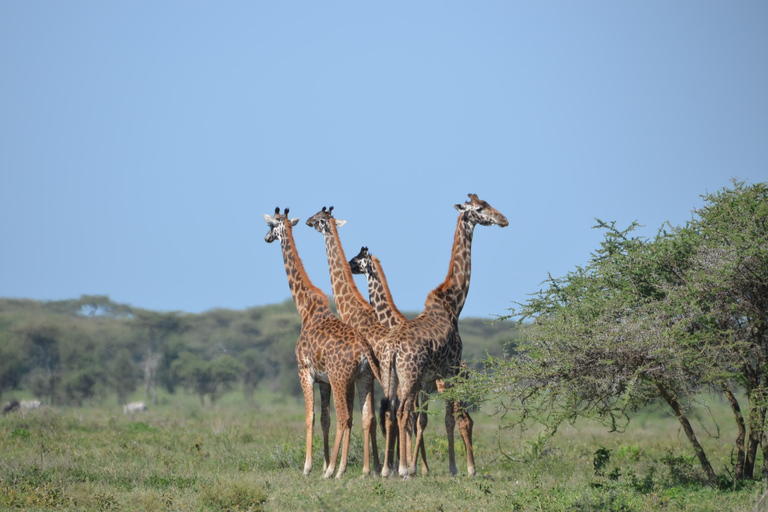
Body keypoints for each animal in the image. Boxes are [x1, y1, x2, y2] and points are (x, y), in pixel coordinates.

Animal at [264, 206, 380, 478]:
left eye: (271, 225)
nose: (265, 238)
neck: (304, 307)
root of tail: (364, 349)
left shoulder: (304, 371)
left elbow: (310, 416)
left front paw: (309, 467)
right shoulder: (324, 380)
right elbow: (325, 419)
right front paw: (327, 463)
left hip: (342, 378)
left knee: (346, 416)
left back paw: (336, 472)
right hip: (364, 377)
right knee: (366, 415)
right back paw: (364, 469)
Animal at [304, 207, 404, 476]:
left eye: (319, 218)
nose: (306, 221)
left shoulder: (353, 375)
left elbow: (355, 416)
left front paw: (353, 467)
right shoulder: (364, 376)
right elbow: (366, 417)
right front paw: (373, 466)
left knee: (396, 413)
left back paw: (395, 467)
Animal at [388, 194, 508, 478]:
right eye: (480, 209)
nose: (503, 219)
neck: (454, 303)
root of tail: (393, 349)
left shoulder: (433, 378)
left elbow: (432, 419)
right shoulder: (451, 369)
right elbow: (450, 418)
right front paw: (457, 469)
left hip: (394, 377)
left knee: (396, 412)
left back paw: (397, 468)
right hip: (410, 376)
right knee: (403, 413)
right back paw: (403, 470)